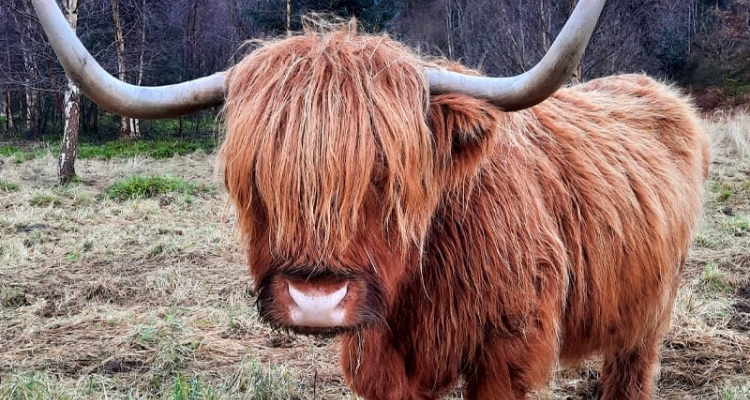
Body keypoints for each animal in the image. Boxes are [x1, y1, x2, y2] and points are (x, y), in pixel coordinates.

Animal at [32, 0, 710, 398]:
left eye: (388, 174)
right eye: (255, 177)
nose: (315, 300)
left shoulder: (509, 349)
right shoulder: (378, 358)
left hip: (652, 309)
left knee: (632, 369)